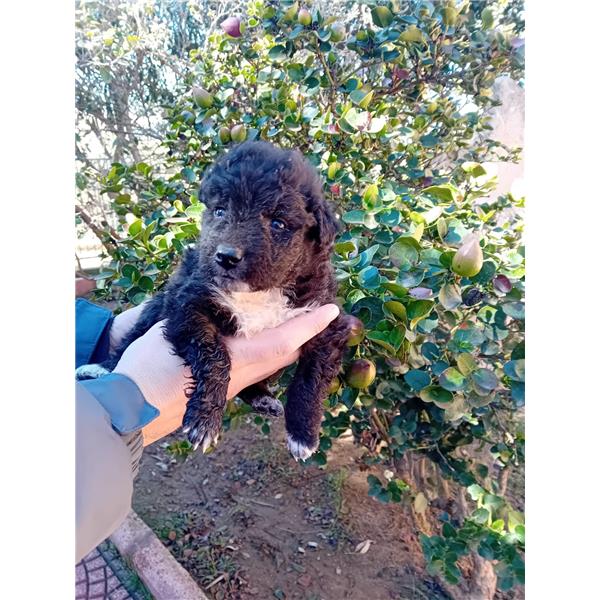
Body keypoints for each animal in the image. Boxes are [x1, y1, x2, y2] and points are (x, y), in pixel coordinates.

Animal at [78, 141, 350, 460]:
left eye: (279, 223)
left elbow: (310, 382)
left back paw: (263, 399)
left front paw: (302, 435)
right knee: (130, 337)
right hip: (157, 306)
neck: (258, 294)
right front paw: (204, 420)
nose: (226, 256)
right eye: (220, 210)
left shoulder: (327, 322)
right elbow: (214, 356)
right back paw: (100, 368)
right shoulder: (188, 305)